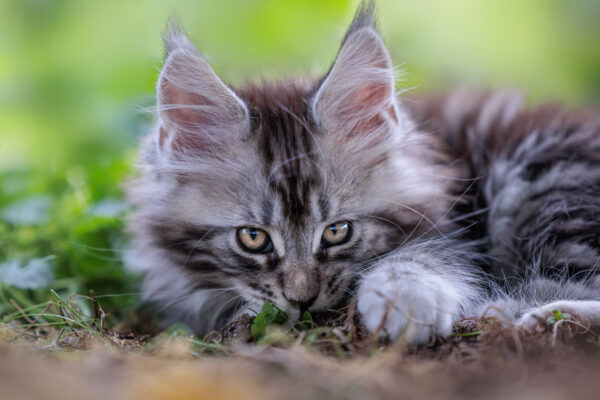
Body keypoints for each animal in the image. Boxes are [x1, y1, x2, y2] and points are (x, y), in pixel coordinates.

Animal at [127, 2, 600, 344]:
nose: (303, 299)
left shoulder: (454, 225)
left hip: (547, 184)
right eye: (253, 237)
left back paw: (530, 316)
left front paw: (405, 300)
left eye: (338, 231)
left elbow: (422, 256)